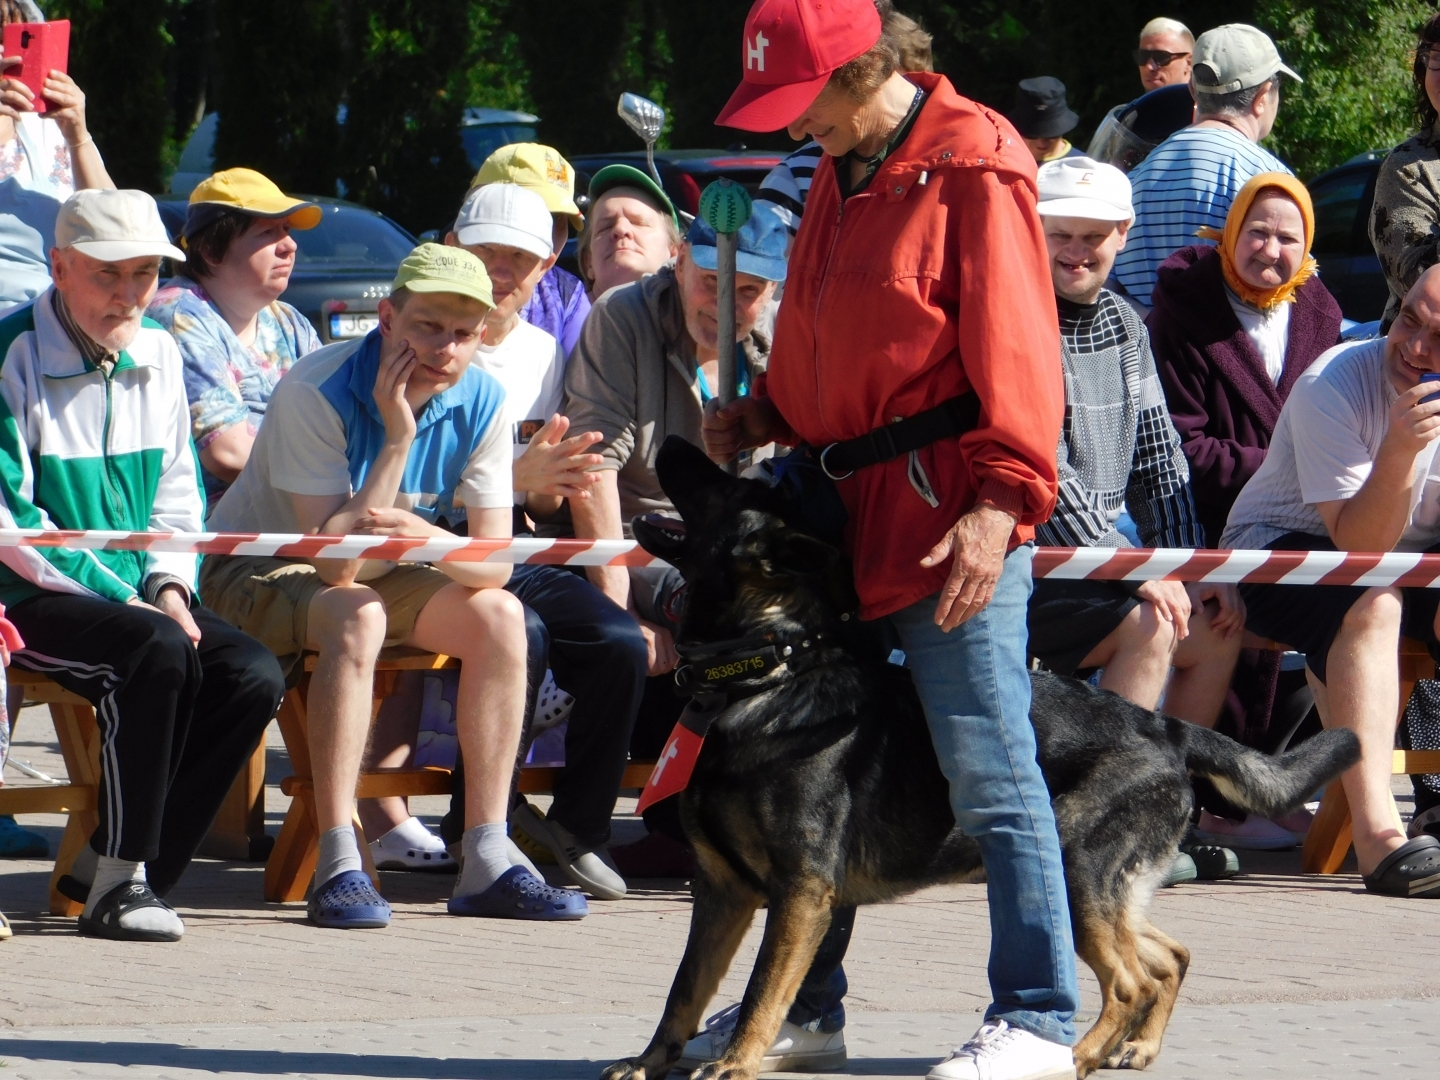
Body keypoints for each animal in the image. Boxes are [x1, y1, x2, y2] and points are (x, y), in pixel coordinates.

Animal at [604, 440, 1359, 1080]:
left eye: (728, 487)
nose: (673, 442)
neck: (763, 674)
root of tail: (1164, 726)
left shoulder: (798, 893)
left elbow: (762, 990)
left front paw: (733, 1064)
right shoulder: (722, 891)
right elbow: (683, 991)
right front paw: (649, 1061)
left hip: (1075, 875)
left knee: (1129, 981)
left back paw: (1076, 1056)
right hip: (1109, 893)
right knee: (1168, 958)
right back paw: (1137, 1047)